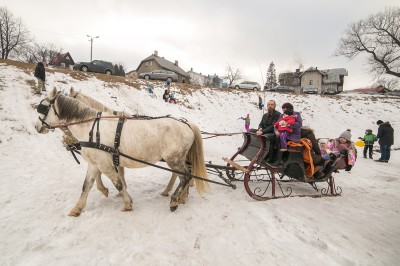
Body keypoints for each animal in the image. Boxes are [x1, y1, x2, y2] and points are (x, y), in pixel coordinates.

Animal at [35, 88, 208, 215]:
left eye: (43, 108)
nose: (37, 127)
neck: (91, 128)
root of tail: (187, 125)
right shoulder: (95, 164)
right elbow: (87, 185)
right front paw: (77, 209)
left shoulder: (106, 164)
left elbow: (118, 183)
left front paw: (127, 203)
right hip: (176, 159)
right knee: (183, 176)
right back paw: (179, 196)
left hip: (174, 159)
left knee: (185, 177)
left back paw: (174, 200)